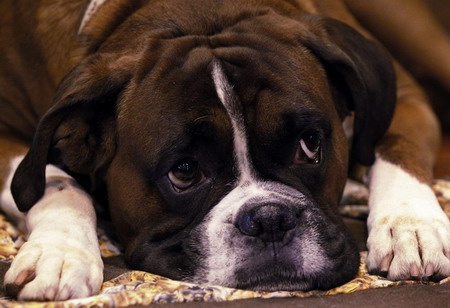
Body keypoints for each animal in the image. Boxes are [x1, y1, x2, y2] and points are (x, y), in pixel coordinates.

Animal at [0, 0, 448, 300]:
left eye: (309, 145)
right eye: (184, 172)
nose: (269, 219)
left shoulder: (406, 99)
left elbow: (397, 149)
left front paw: (411, 227)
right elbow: (57, 184)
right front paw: (60, 252)